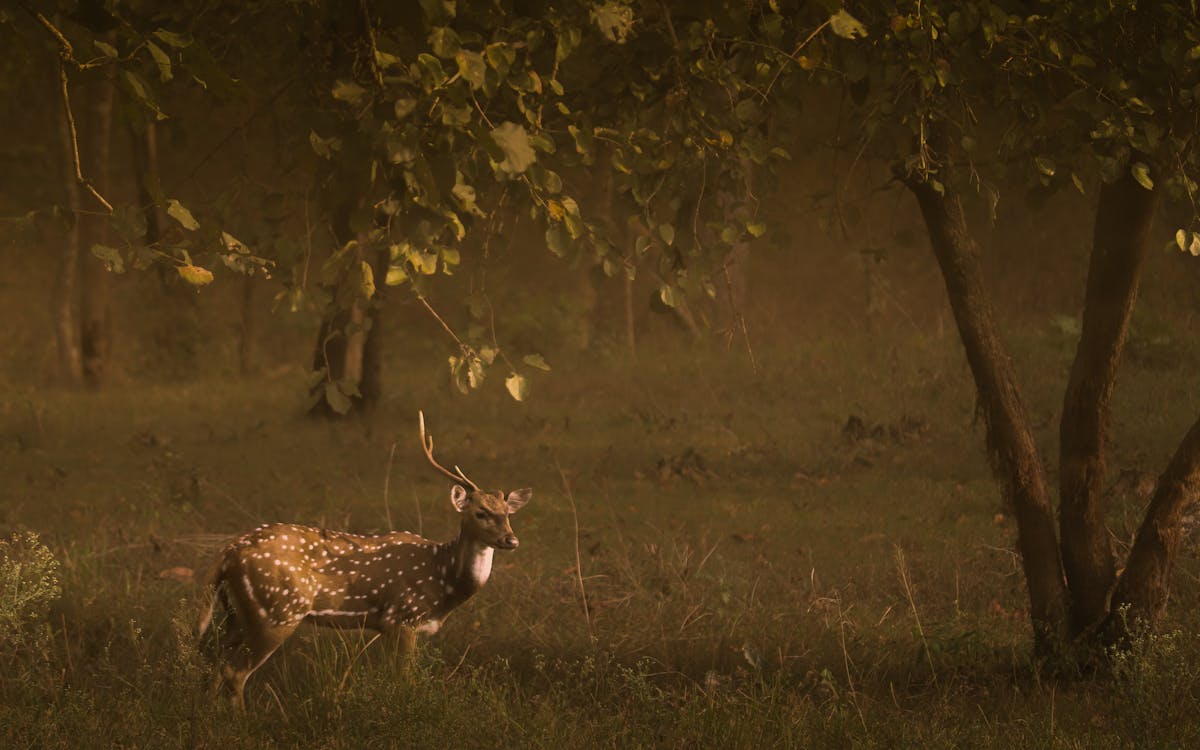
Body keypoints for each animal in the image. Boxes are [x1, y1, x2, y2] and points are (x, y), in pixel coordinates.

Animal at [198, 412, 530, 710]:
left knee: (211, 663)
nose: (511, 540)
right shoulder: (402, 617)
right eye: (481, 513)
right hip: (276, 611)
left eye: (508, 513)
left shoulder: (387, 626)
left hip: (239, 614)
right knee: (234, 672)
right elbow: (404, 679)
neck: (442, 580)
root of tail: (230, 551)